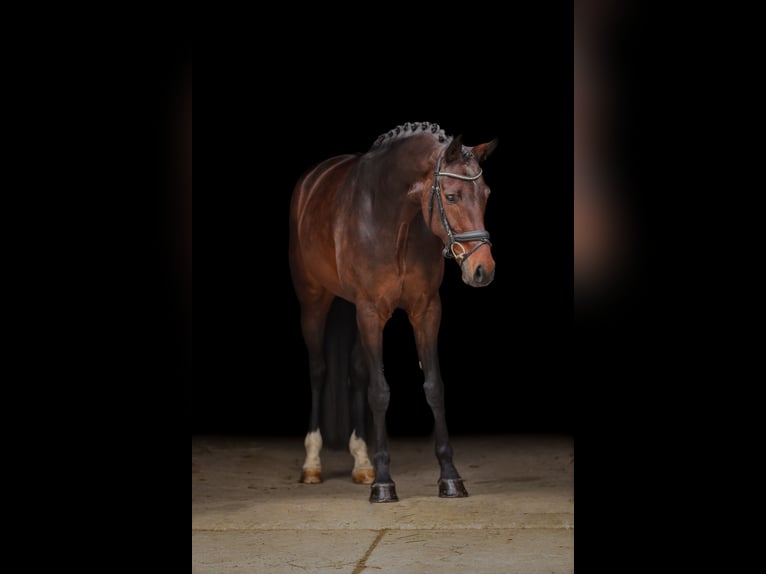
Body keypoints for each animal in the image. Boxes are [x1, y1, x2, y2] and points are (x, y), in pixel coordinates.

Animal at [288, 122, 498, 502]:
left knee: (356, 372)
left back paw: (361, 462)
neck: (393, 218)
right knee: (318, 371)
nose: (482, 269)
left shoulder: (425, 310)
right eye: (452, 196)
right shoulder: (372, 312)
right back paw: (312, 464)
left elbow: (434, 387)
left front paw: (450, 477)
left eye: (486, 194)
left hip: (352, 308)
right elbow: (379, 391)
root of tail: (312, 178)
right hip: (314, 302)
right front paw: (384, 483)